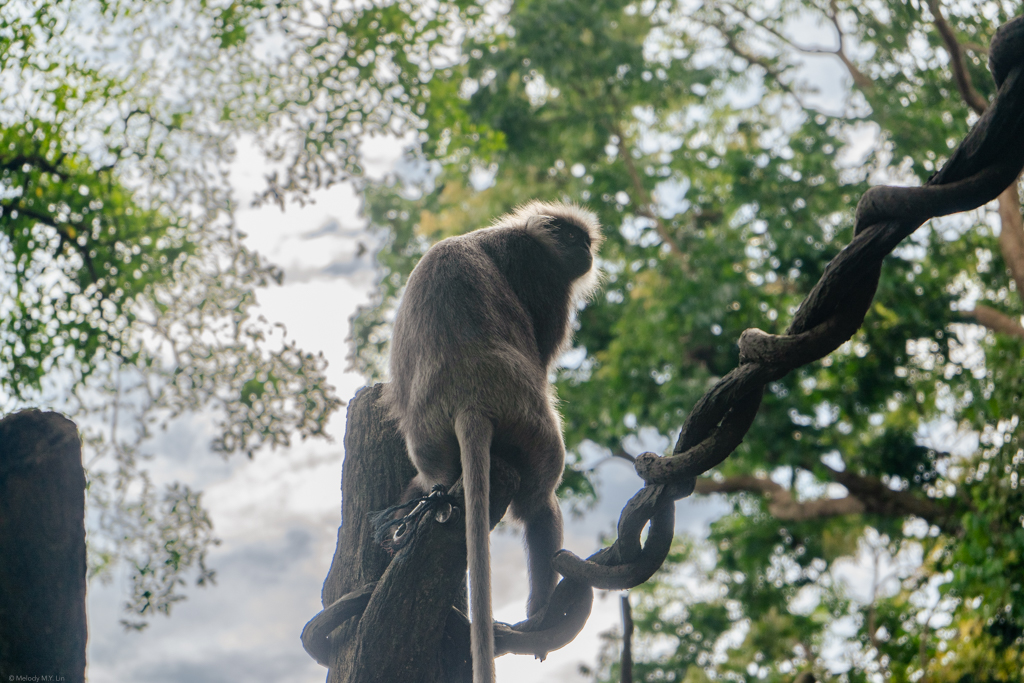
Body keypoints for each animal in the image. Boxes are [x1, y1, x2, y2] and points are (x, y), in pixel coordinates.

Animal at [382, 201, 606, 683]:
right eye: (575, 239)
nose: (586, 252)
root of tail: (471, 401)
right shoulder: (543, 275)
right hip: (534, 430)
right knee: (540, 503)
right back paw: (540, 612)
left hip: (430, 444)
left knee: (434, 479)